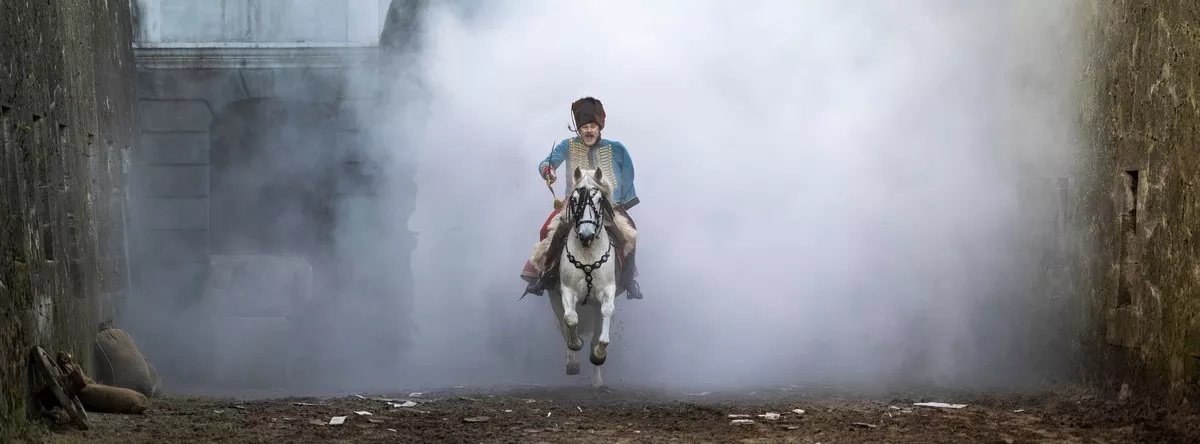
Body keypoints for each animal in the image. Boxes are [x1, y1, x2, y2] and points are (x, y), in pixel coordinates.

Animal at [540, 166, 628, 388]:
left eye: (599, 199)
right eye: (575, 199)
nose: (586, 234)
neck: (588, 253)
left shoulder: (607, 290)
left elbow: (605, 318)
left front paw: (599, 354)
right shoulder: (566, 291)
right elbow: (570, 319)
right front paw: (575, 344)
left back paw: (597, 380)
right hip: (554, 299)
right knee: (563, 325)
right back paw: (572, 362)